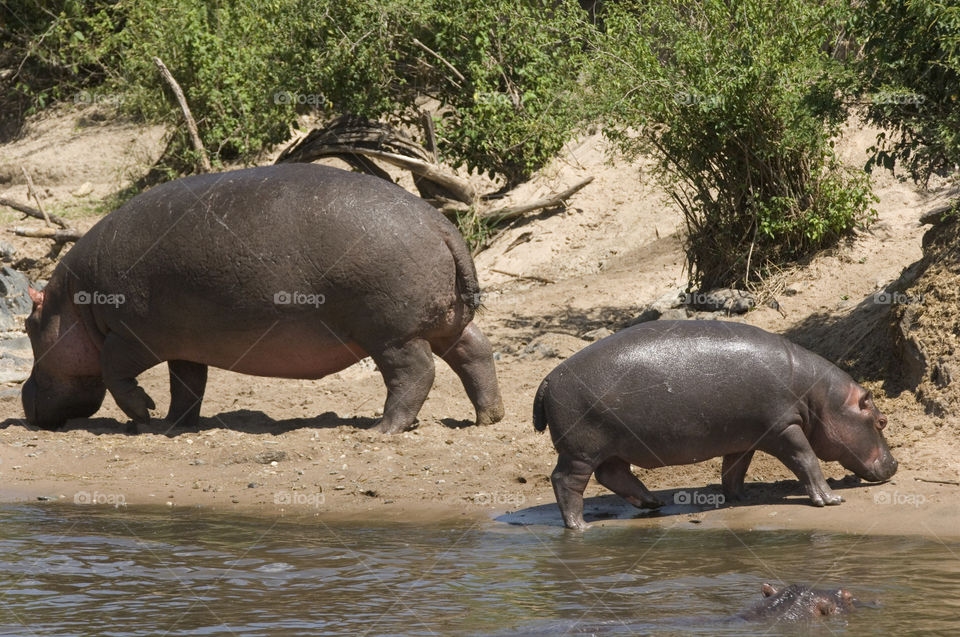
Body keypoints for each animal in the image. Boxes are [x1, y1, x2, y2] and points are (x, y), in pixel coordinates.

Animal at [20, 164, 502, 432]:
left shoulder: (127, 336)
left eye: (27, 325)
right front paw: (174, 425)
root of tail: (440, 224)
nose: (23, 399)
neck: (74, 301)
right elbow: (187, 386)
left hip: (391, 334)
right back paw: (488, 418)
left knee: (414, 375)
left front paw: (143, 417)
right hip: (442, 322)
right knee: (474, 352)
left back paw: (382, 430)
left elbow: (115, 374)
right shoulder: (184, 345)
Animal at [536, 320, 896, 528]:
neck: (819, 397)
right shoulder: (784, 428)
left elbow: (734, 469)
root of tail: (546, 380)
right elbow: (805, 460)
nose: (894, 464)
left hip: (612, 447)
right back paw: (579, 526)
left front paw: (740, 498)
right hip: (582, 450)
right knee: (566, 482)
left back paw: (652, 503)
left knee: (612, 474)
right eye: (882, 421)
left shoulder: (747, 437)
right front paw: (829, 500)